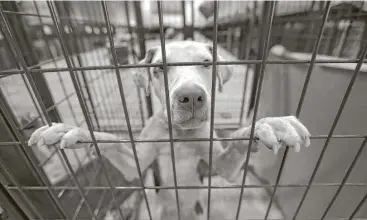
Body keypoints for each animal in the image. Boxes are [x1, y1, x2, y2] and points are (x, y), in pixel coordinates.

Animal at [28, 40, 310, 219]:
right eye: (160, 67)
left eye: (207, 63)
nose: (191, 96)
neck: (180, 134)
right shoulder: (135, 163)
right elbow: (109, 139)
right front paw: (73, 132)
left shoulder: (223, 166)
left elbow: (238, 142)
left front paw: (269, 124)